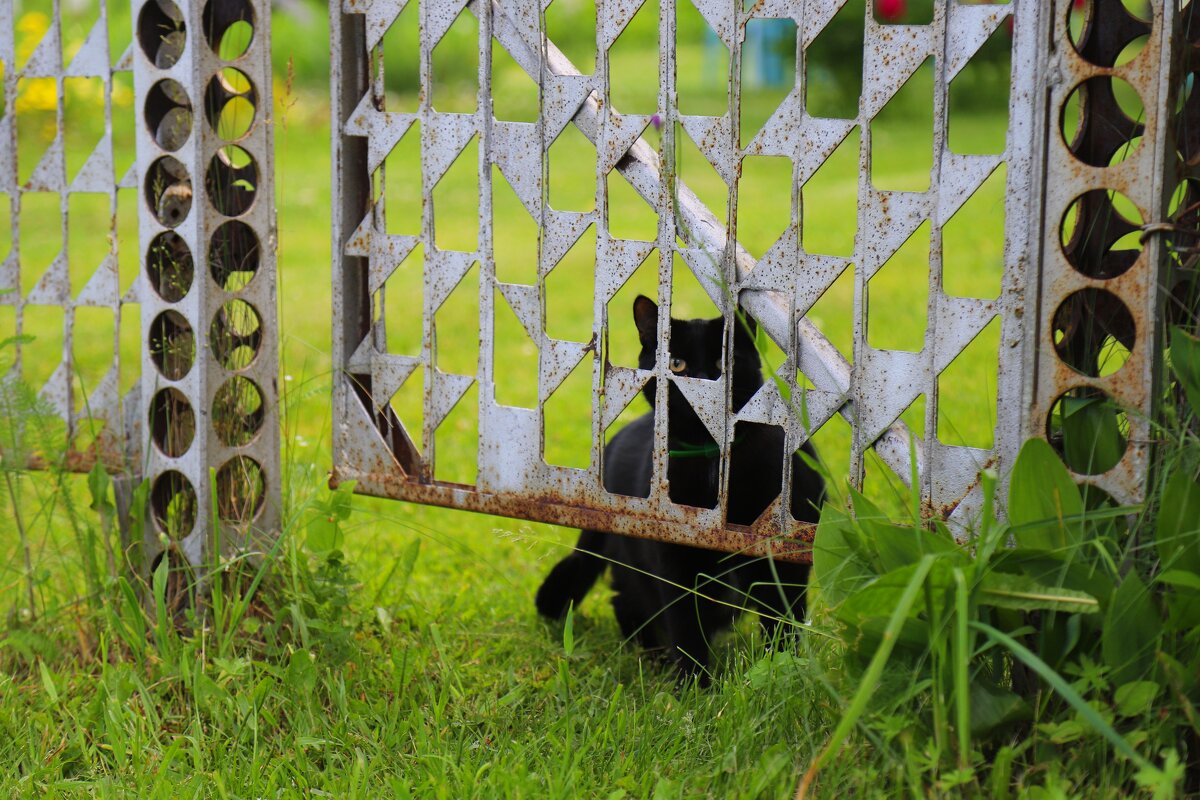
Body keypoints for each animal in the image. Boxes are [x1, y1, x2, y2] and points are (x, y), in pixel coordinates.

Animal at [537, 297, 825, 686]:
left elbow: (784, 621)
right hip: (634, 558)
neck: (710, 463)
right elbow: (685, 623)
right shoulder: (673, 554)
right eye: (676, 364)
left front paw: (786, 675)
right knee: (629, 602)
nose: (700, 386)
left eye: (722, 363)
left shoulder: (783, 555)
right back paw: (654, 658)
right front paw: (695, 686)